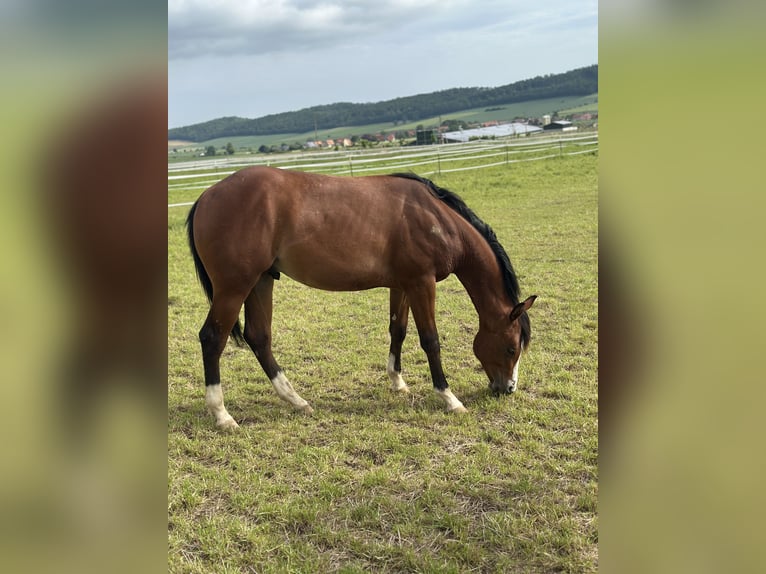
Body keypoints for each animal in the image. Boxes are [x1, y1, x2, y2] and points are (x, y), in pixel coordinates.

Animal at [186, 166, 536, 429]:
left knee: (259, 337)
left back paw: (297, 401)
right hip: (235, 287)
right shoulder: (422, 283)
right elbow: (430, 340)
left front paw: (397, 382)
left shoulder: (403, 285)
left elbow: (399, 330)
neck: (436, 218)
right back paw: (222, 415)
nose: (507, 389)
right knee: (212, 338)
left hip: (260, 281)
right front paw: (449, 399)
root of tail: (207, 195)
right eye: (511, 347)